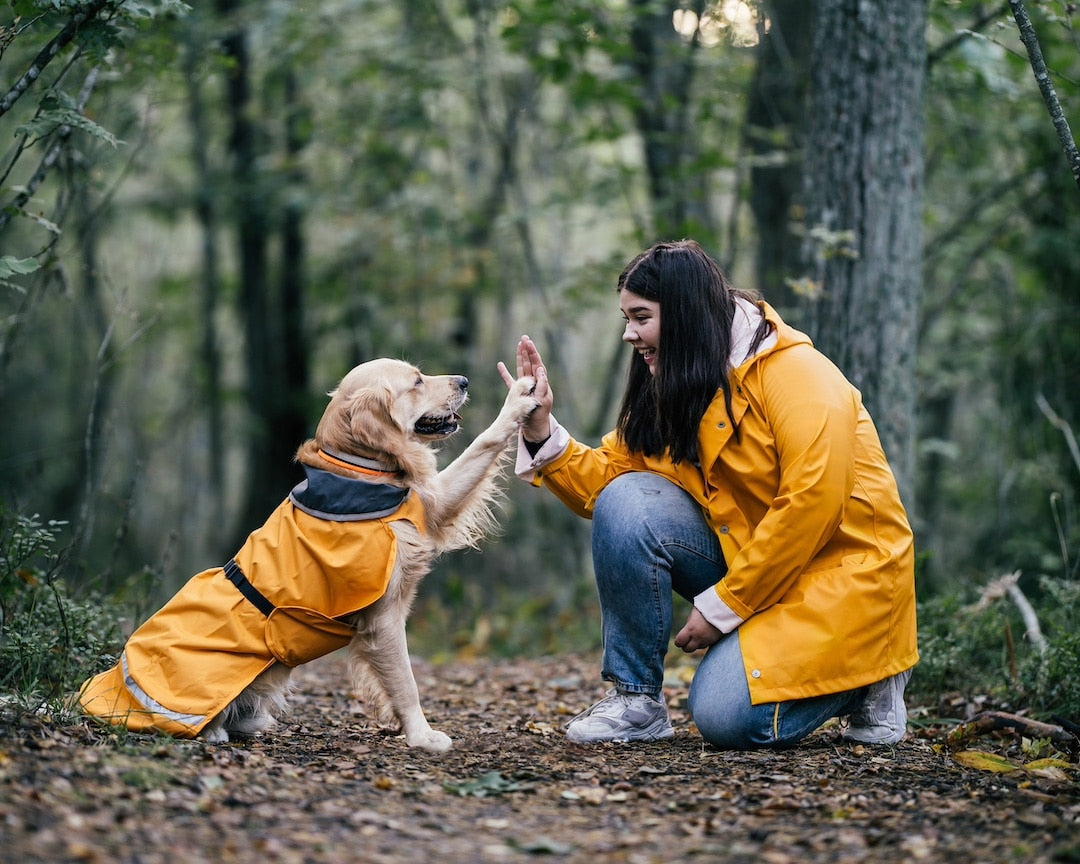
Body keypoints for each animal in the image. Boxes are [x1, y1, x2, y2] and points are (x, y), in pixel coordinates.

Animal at [78, 358, 537, 747]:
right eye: (417, 381)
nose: (464, 381)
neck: (359, 474)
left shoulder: (434, 505)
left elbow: (482, 442)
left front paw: (521, 394)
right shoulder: (383, 617)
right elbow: (406, 682)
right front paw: (423, 736)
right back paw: (215, 732)